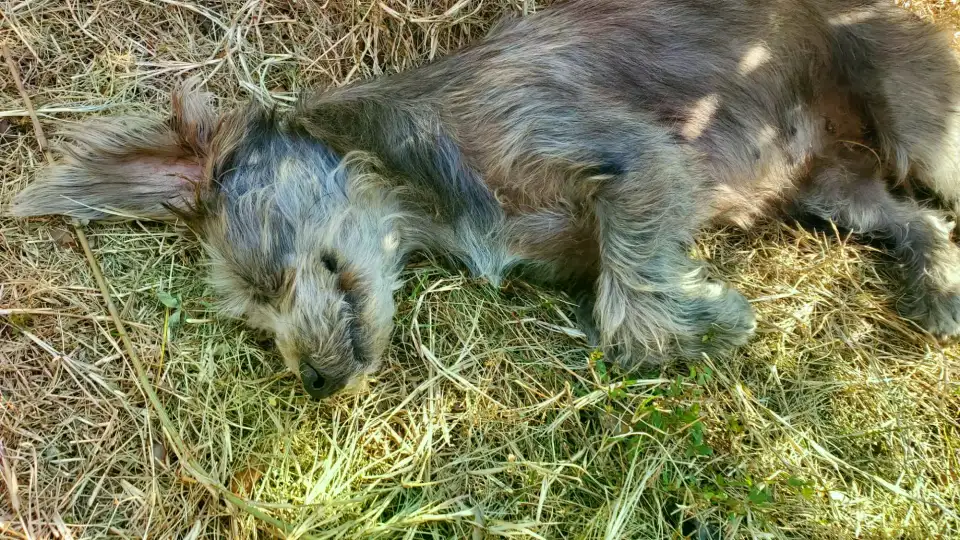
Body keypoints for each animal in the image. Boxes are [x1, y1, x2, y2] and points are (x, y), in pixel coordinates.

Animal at [11, 0, 960, 400]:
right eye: (250, 315)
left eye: (269, 276)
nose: (313, 384)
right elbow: (618, 283)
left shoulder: (631, 155)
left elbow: (629, 303)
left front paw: (703, 323)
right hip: (833, 188)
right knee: (910, 217)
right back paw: (937, 286)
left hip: (919, 122)